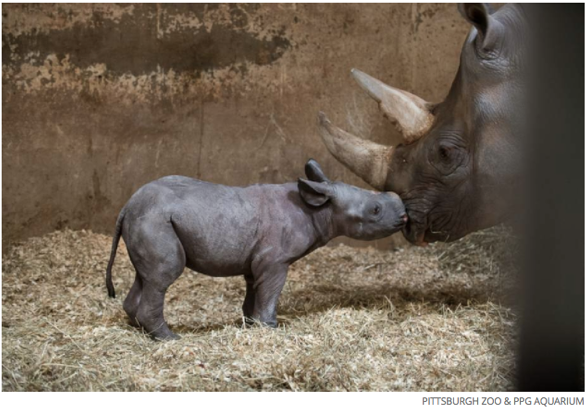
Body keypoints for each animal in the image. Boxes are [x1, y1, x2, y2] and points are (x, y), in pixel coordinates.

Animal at [105, 159, 406, 338]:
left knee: (145, 276)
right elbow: (271, 290)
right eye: (375, 210)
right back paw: (169, 338)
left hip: (148, 219)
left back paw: (139, 329)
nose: (404, 215)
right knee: (163, 275)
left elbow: (253, 288)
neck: (319, 208)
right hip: (155, 220)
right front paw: (271, 326)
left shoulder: (257, 258)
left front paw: (250, 323)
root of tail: (127, 206)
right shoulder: (275, 260)